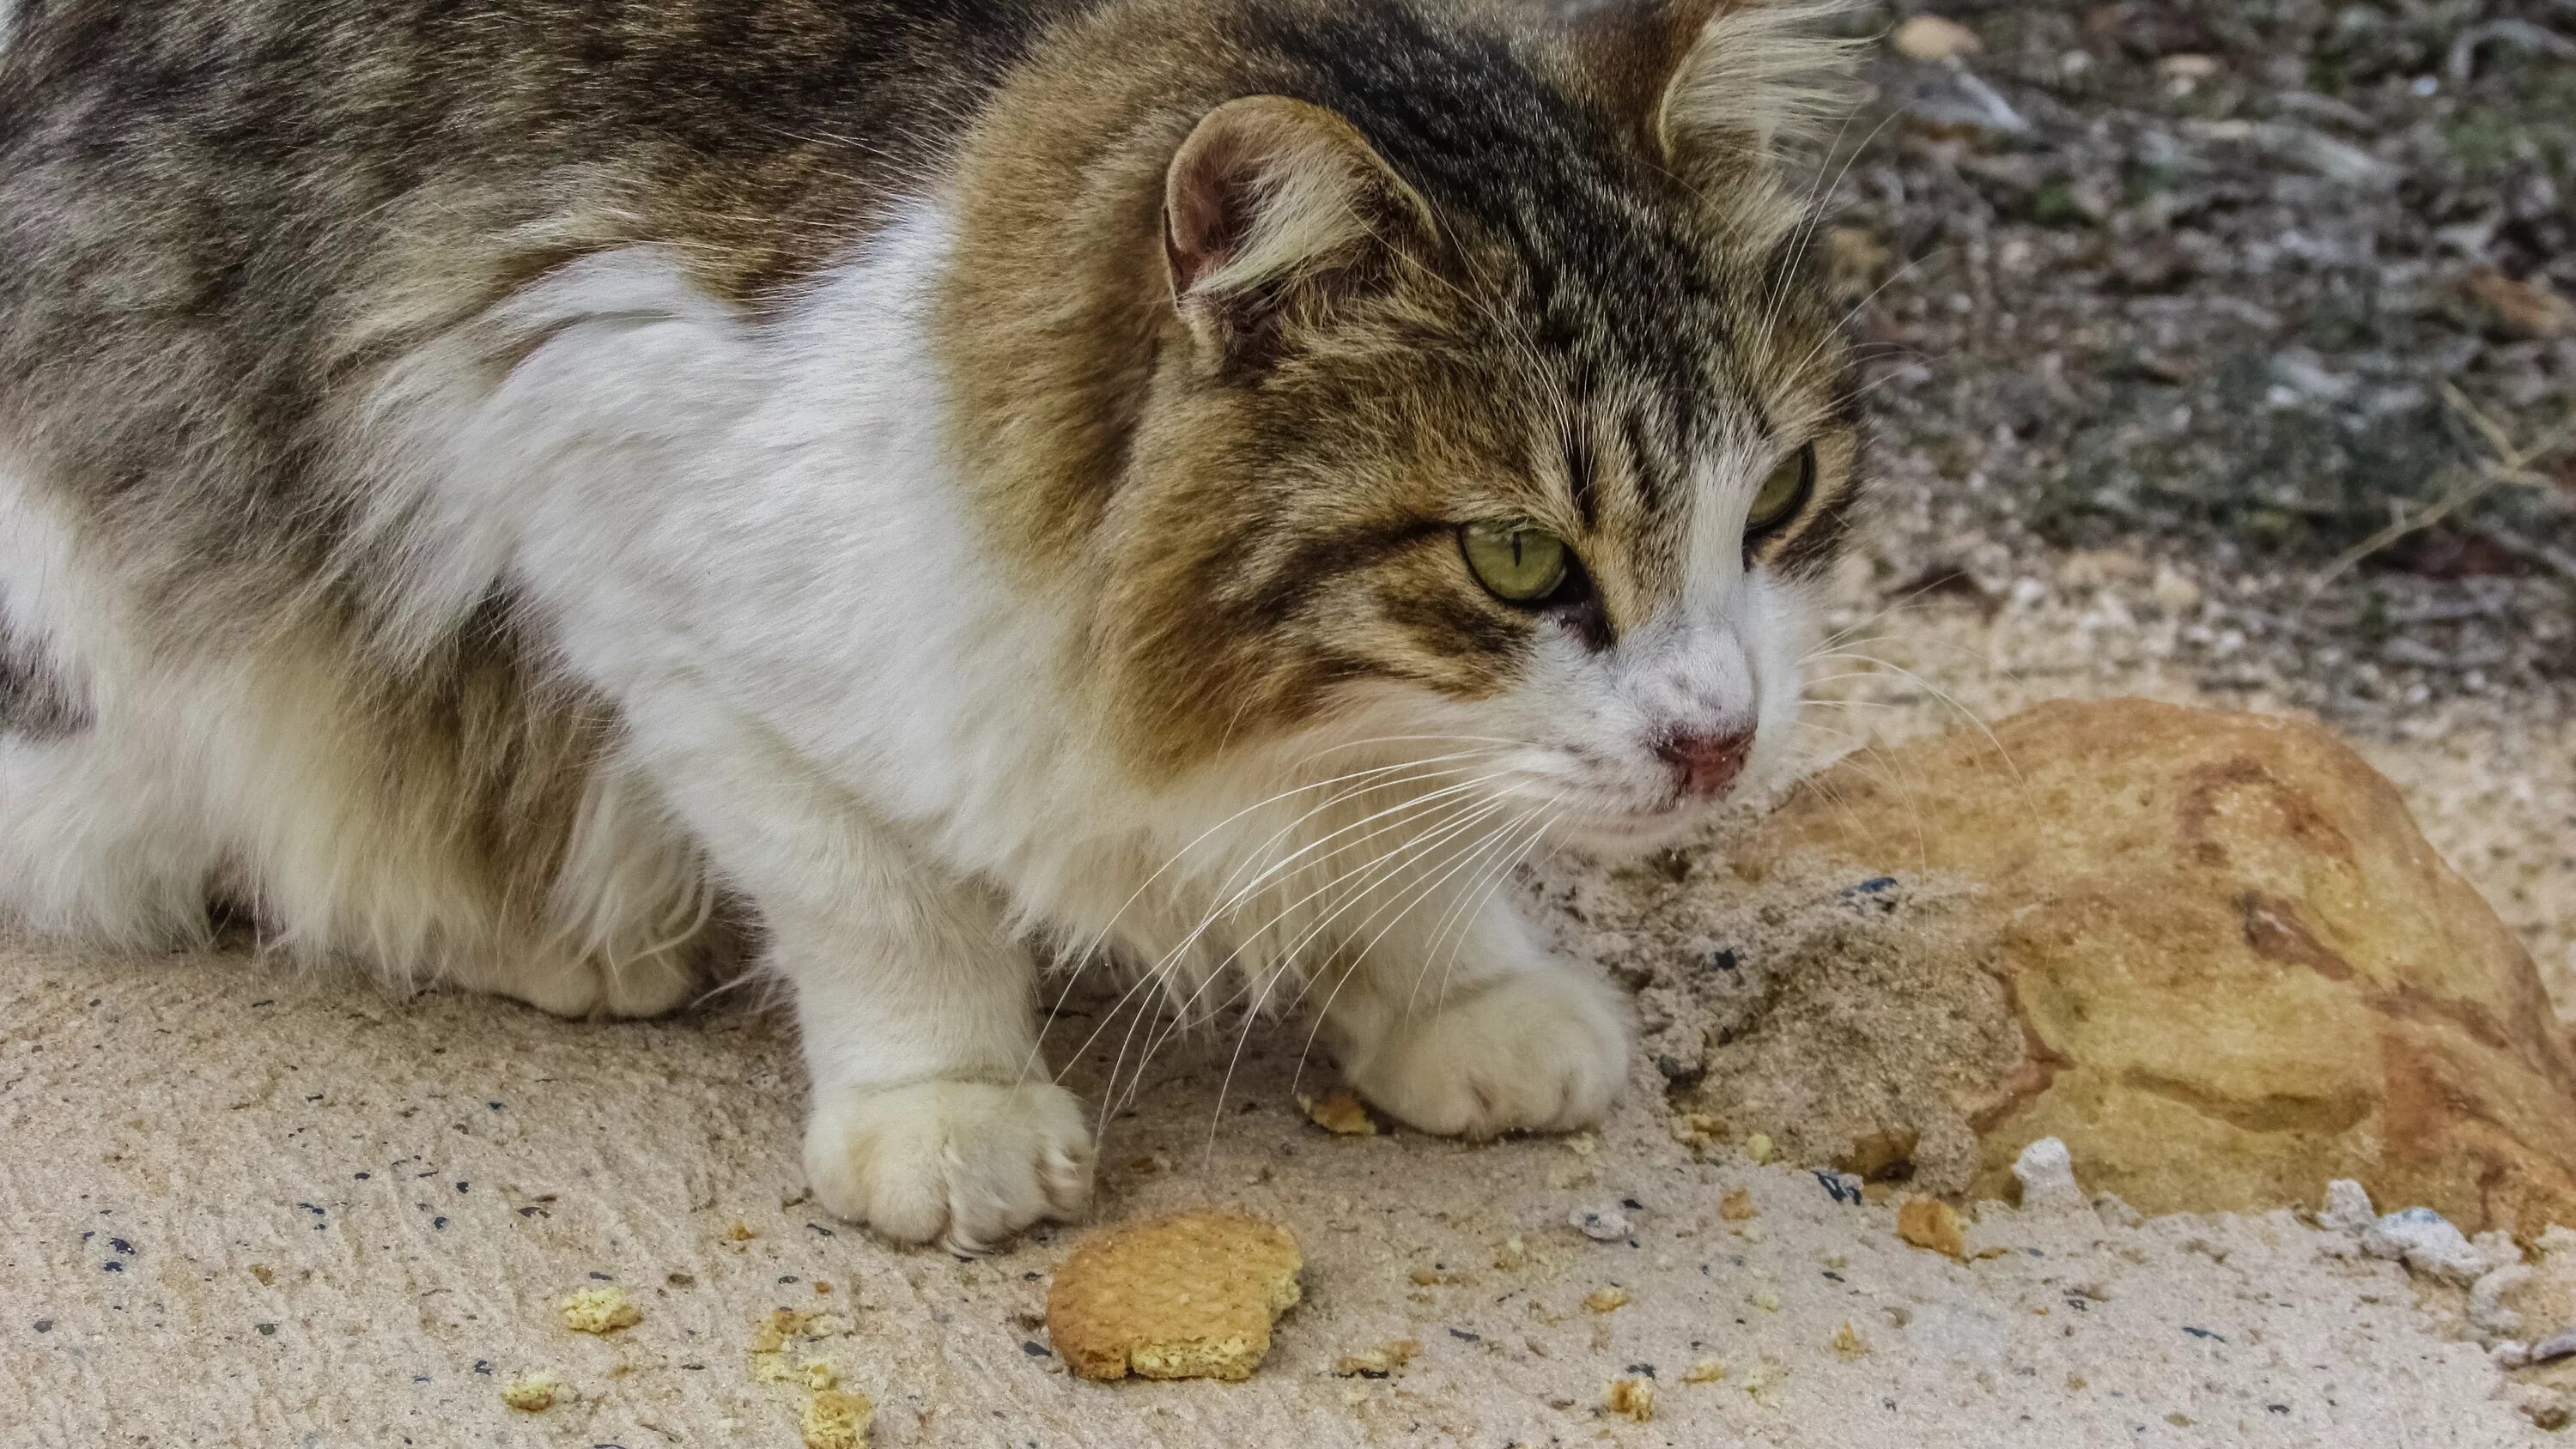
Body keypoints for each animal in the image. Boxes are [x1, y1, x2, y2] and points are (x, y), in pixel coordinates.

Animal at [0, 0, 1865, 1246]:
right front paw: (945, 1104)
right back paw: (562, 928)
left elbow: (1418, 852)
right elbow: (873, 892)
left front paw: (1460, 985)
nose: (1722, 742)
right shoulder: (618, 516)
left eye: (1779, 496)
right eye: (1516, 558)